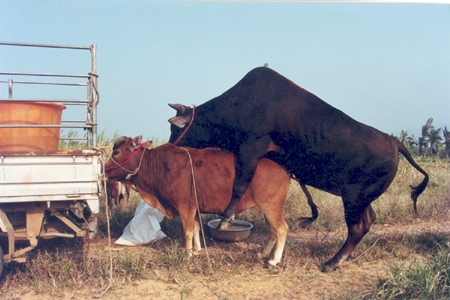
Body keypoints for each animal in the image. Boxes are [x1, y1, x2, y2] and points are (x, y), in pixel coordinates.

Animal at [103, 136, 290, 264]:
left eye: (116, 152)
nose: (103, 170)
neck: (159, 165)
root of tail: (284, 168)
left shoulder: (185, 206)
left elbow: (187, 231)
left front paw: (187, 254)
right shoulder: (193, 207)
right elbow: (195, 229)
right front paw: (196, 250)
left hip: (271, 207)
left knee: (281, 229)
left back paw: (274, 260)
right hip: (268, 208)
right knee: (273, 231)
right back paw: (264, 254)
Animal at [168, 66, 428, 272]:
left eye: (173, 129)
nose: (171, 147)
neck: (239, 103)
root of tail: (394, 141)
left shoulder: (252, 147)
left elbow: (240, 185)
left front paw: (226, 219)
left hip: (354, 199)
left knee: (357, 228)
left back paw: (332, 263)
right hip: (360, 199)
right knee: (368, 221)